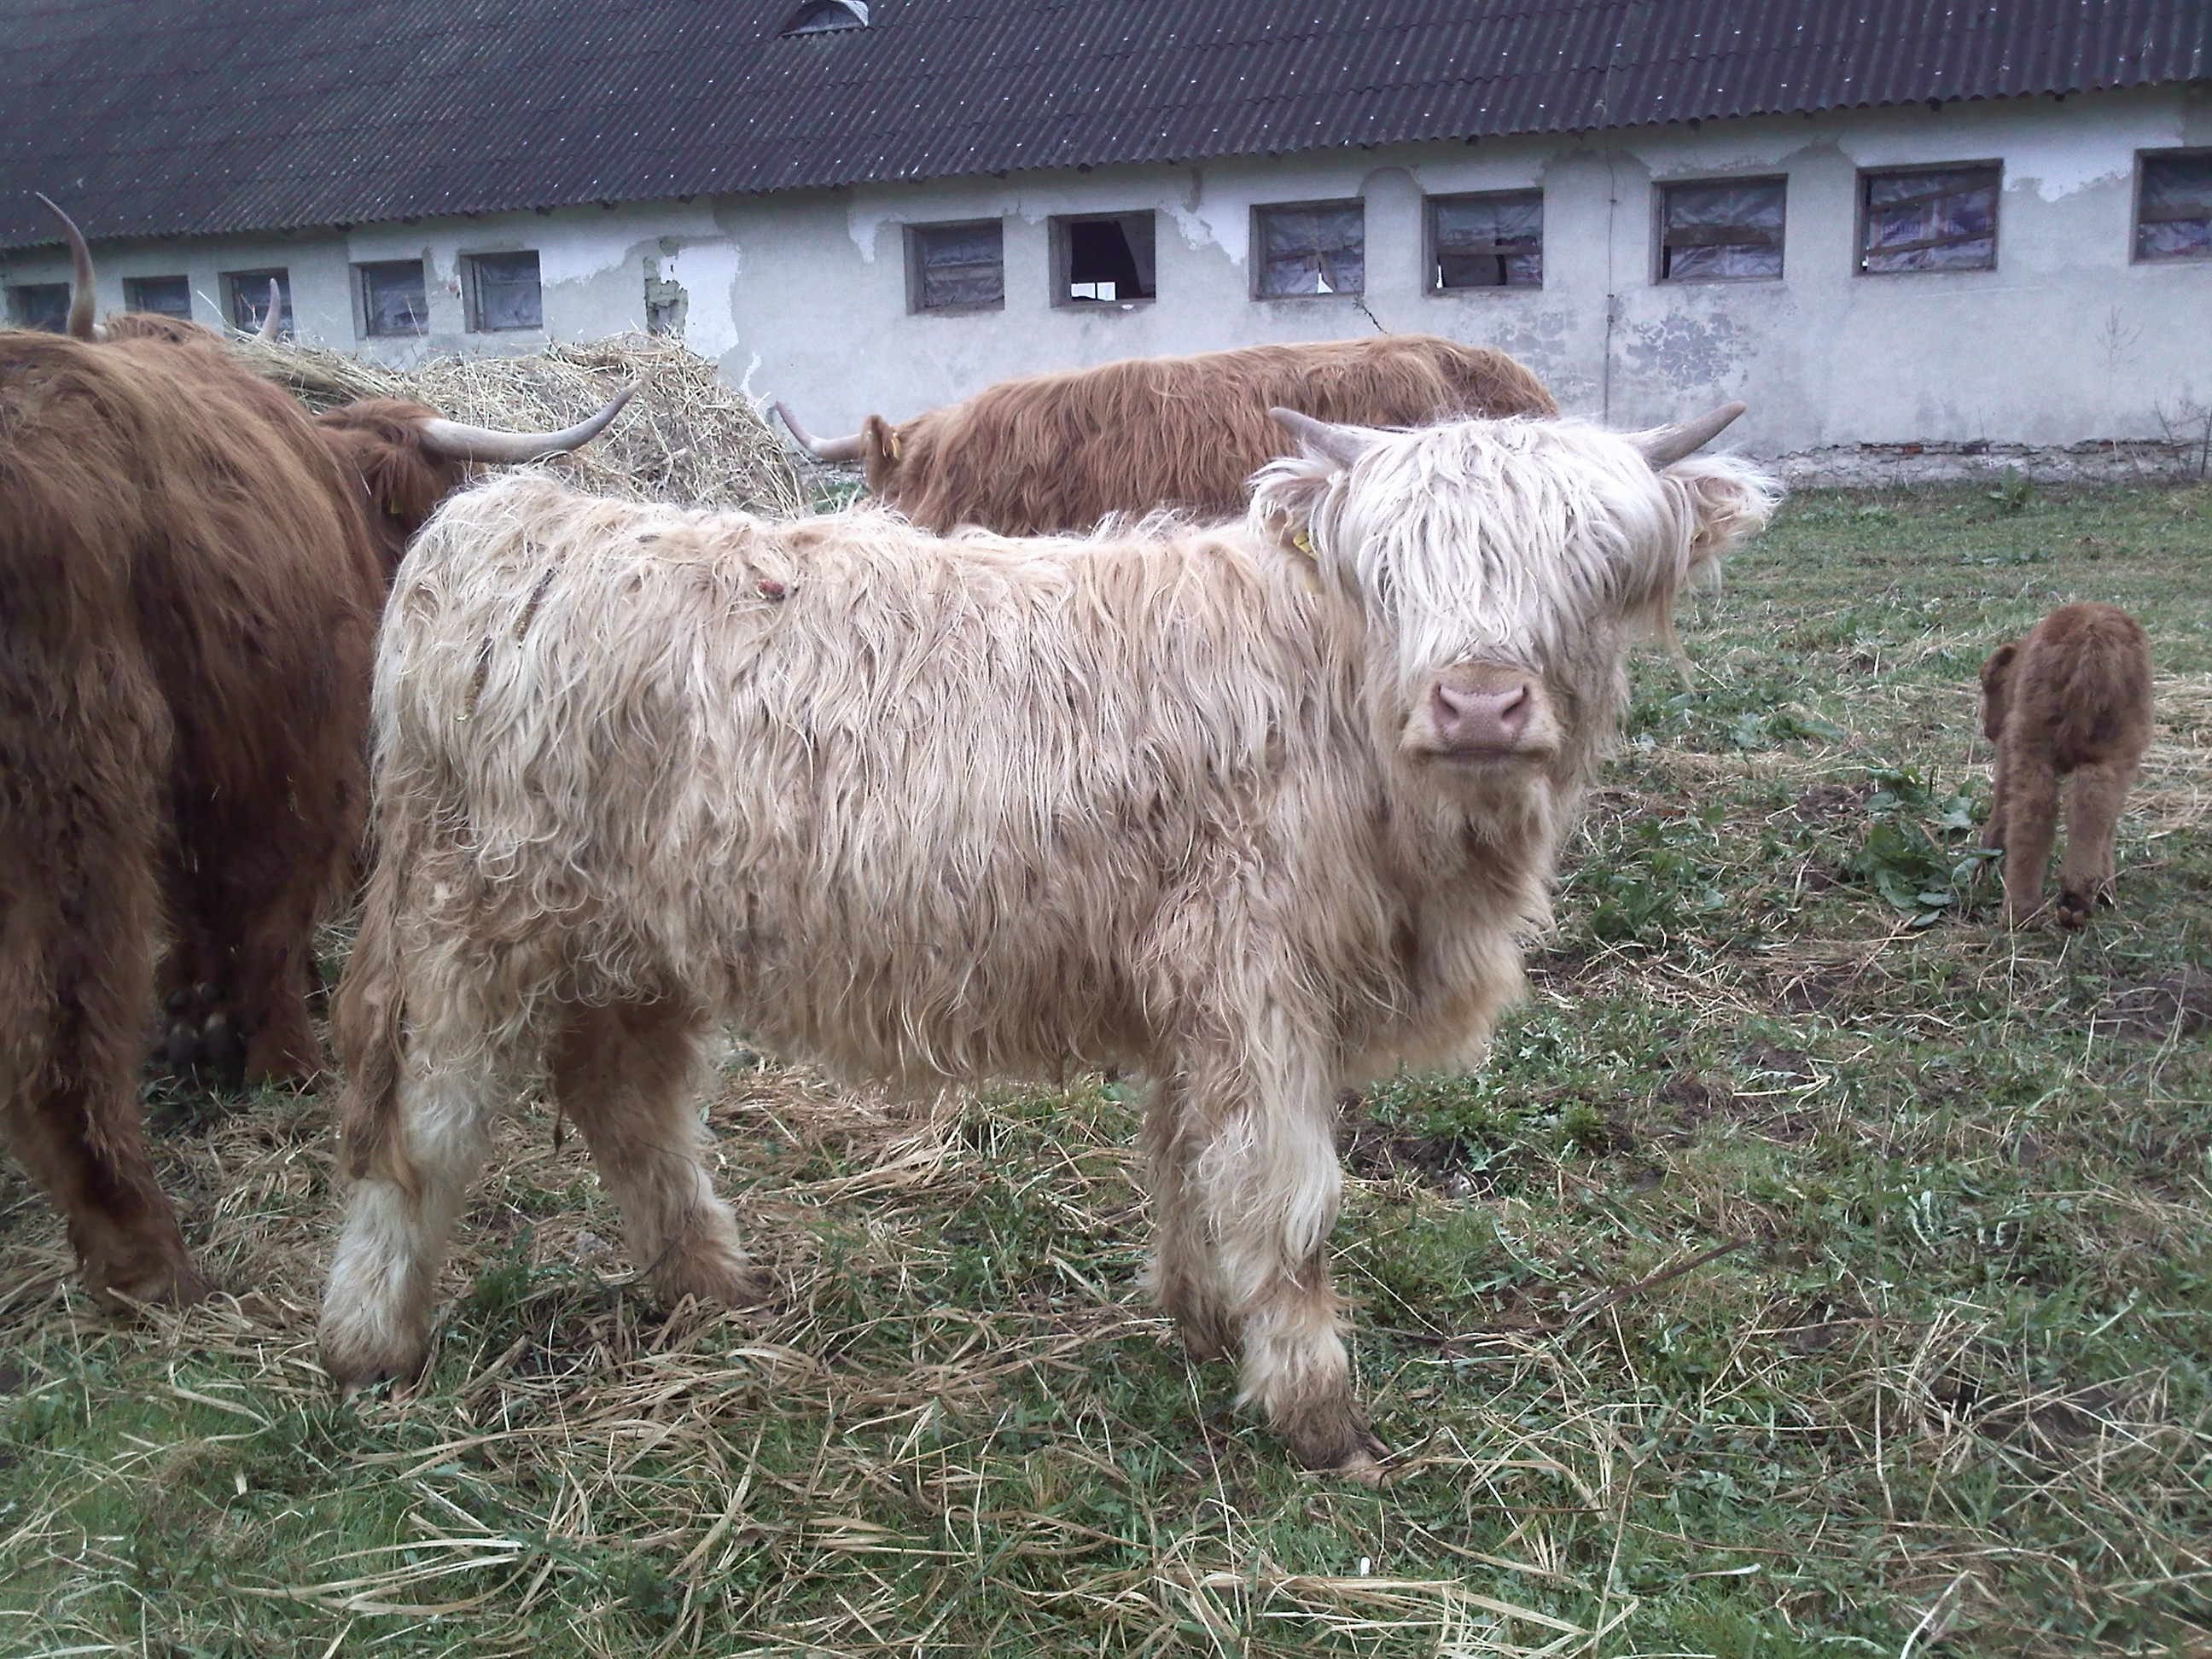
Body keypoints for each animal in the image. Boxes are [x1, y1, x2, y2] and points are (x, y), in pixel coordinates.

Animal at [0, 200, 630, 1307]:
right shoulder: (307, 759)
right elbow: (267, 909)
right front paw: (275, 1053)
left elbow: (212, 914)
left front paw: (199, 1027)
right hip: (65, 776)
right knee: (56, 1018)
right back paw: (143, 1253)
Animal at [317, 399, 1781, 1477]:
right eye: (1387, 566)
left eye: (1594, 565)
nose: (1480, 703)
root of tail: (511, 519)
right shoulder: (1256, 980)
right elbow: (1285, 1193)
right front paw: (1319, 1416)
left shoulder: (1196, 991)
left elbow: (1191, 1159)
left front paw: (1202, 1320)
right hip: (467, 923)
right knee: (422, 1128)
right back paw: (369, 1344)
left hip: (639, 945)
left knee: (628, 1100)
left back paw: (707, 1286)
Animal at [1980, 602, 2153, 928]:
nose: (1987, 729)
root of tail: (2093, 643)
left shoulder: (2009, 742)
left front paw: (1988, 853)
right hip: (2108, 747)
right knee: (2088, 807)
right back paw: (2071, 901)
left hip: (2036, 739)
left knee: (2039, 810)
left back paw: (2028, 911)